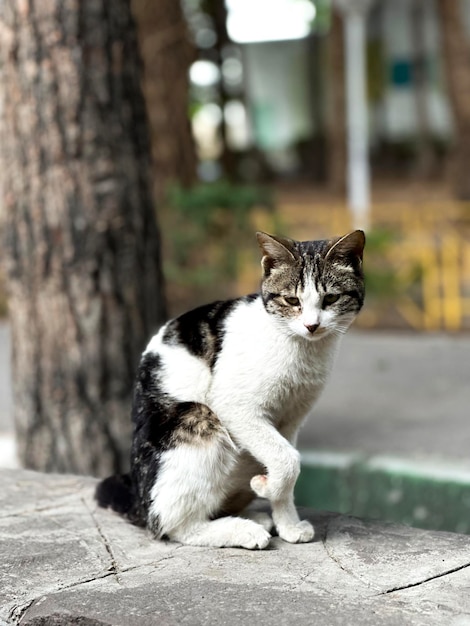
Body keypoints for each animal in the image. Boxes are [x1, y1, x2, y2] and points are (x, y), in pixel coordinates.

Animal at [95, 228, 366, 544]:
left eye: (331, 298)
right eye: (291, 301)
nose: (312, 326)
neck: (302, 349)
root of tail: (138, 501)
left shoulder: (291, 420)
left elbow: (286, 458)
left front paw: (288, 524)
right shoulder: (234, 407)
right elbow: (288, 459)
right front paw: (266, 487)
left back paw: (255, 518)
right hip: (197, 418)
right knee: (172, 525)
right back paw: (242, 530)